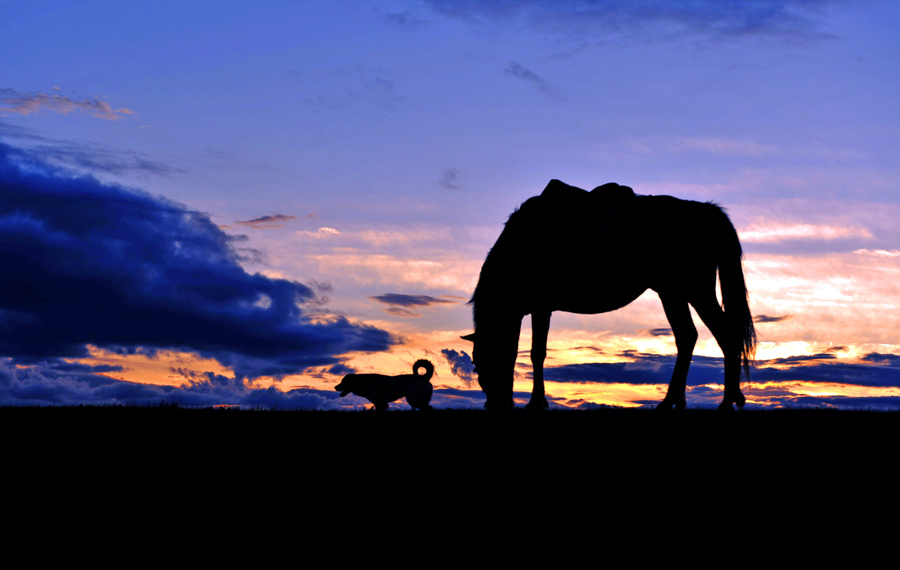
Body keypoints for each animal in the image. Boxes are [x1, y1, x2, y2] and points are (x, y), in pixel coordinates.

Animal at [464, 180, 752, 410]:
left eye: (484, 361)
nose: (494, 405)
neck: (520, 246)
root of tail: (706, 211)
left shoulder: (541, 307)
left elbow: (537, 353)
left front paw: (536, 403)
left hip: (695, 291)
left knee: (725, 335)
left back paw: (726, 402)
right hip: (672, 293)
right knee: (687, 336)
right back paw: (673, 401)